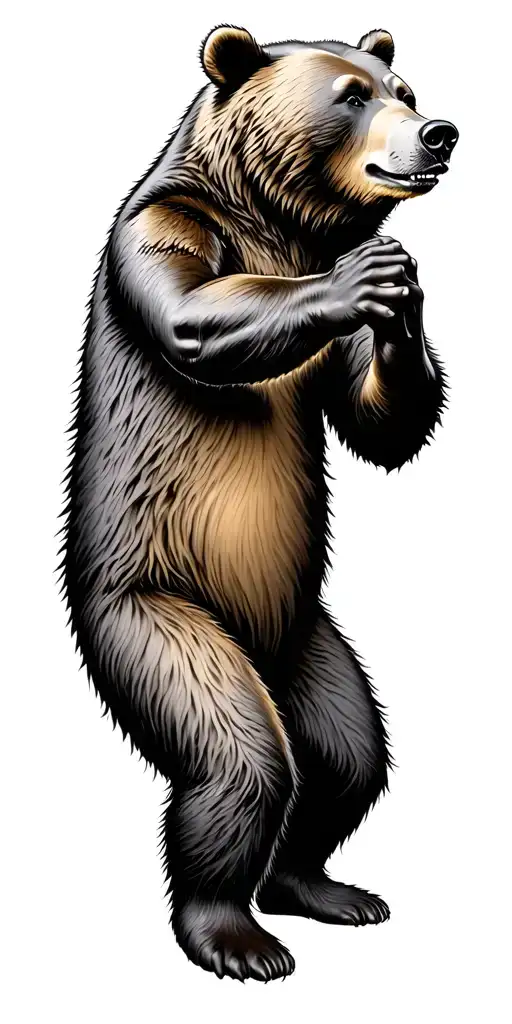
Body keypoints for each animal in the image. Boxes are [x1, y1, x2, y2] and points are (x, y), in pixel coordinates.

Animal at [62, 25, 458, 982]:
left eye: (405, 86)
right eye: (352, 95)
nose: (437, 134)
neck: (278, 228)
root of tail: (259, 641)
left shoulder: (332, 345)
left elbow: (377, 420)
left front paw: (404, 299)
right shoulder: (163, 227)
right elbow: (197, 311)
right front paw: (366, 275)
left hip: (311, 639)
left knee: (350, 757)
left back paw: (321, 886)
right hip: (156, 611)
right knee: (238, 761)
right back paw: (234, 934)